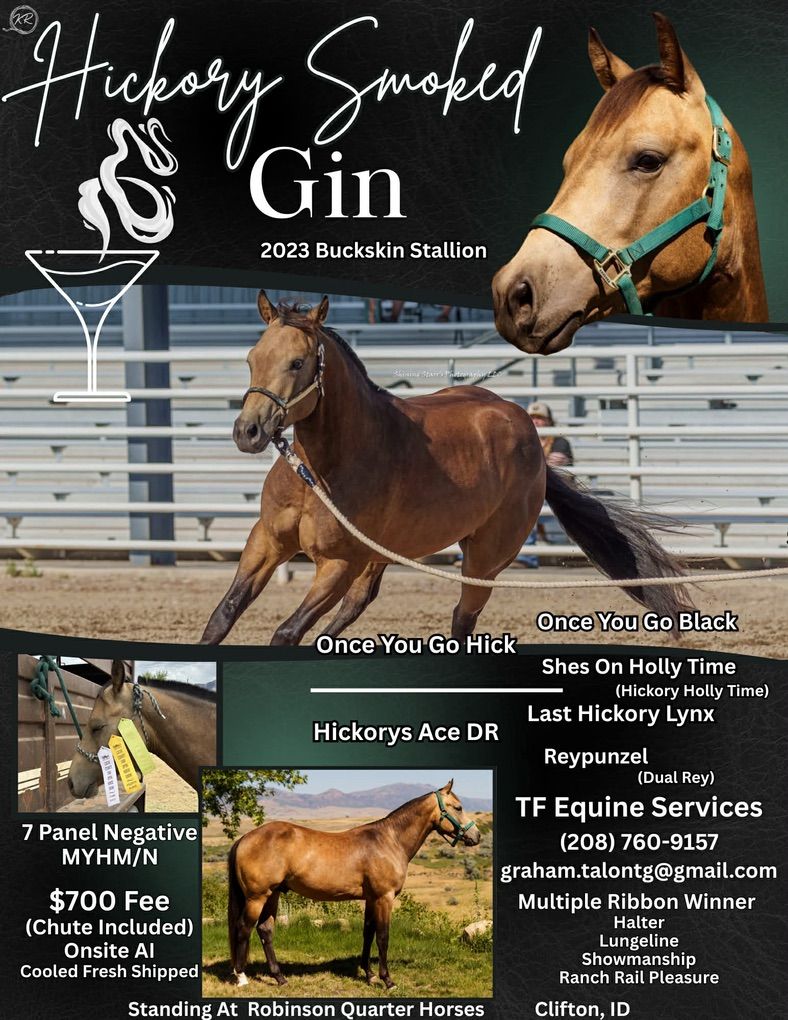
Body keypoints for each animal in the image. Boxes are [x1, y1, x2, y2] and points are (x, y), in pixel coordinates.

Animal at [200, 291, 690, 645]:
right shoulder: (266, 541)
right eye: (251, 358)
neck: (321, 472)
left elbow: (286, 632)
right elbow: (223, 615)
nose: (248, 431)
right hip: (385, 553)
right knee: (360, 604)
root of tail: (532, 442)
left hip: (484, 560)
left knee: (462, 618)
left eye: (298, 363)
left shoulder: (337, 564)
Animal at [226, 779, 481, 988]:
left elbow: (368, 933)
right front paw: (387, 980)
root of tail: (245, 838)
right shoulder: (384, 898)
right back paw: (241, 977)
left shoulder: (371, 899)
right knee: (244, 928)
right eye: (458, 807)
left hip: (273, 894)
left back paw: (279, 978)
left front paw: (369, 975)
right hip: (257, 897)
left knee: (265, 931)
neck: (389, 841)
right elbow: (383, 936)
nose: (476, 836)